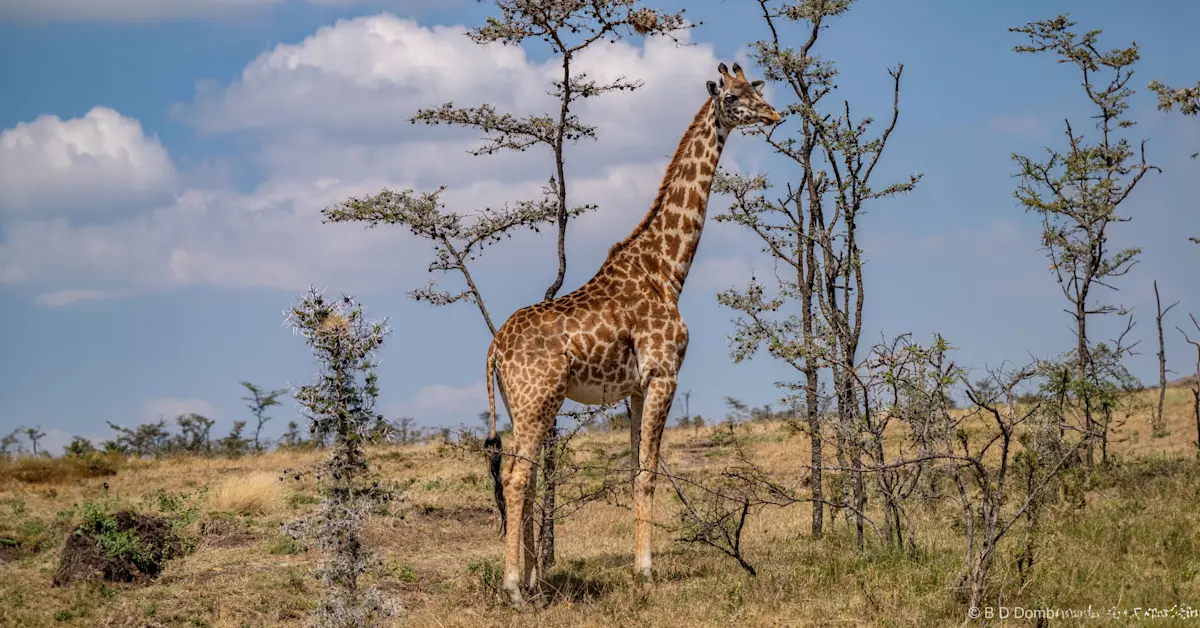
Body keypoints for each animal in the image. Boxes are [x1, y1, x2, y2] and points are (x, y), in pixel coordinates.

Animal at [483, 62, 780, 605]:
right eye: (731, 97)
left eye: (755, 89)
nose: (774, 114)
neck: (668, 268)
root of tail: (494, 348)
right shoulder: (664, 373)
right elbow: (648, 474)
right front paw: (645, 570)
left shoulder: (636, 389)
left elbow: (634, 470)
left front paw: (637, 564)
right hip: (538, 399)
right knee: (516, 477)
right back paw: (515, 587)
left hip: (521, 404)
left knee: (525, 475)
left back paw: (536, 582)